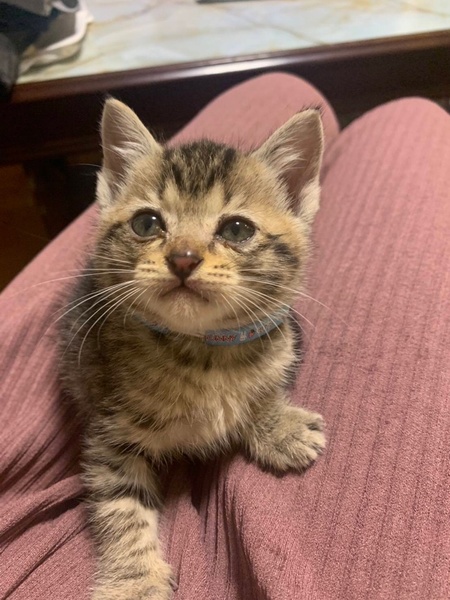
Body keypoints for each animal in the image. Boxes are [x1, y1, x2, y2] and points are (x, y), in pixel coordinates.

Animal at [58, 98, 326, 600]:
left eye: (237, 229)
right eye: (147, 223)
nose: (183, 258)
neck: (203, 352)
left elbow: (265, 387)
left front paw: (278, 425)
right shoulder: (109, 432)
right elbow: (122, 508)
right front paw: (134, 583)